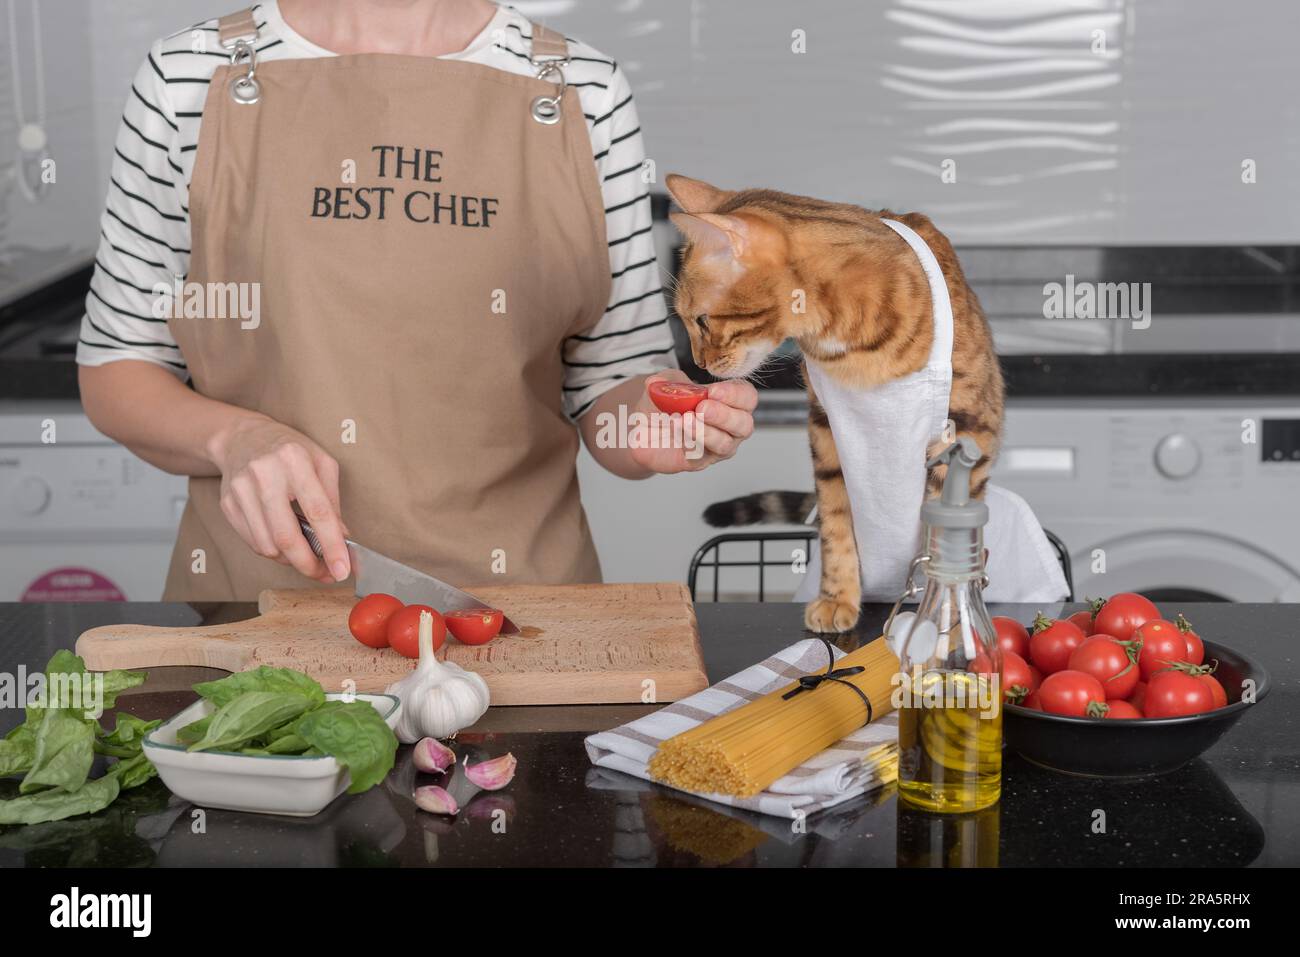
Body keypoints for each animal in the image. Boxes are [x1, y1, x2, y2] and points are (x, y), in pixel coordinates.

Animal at [665, 172, 998, 634]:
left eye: (701, 320)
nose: (696, 365)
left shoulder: (968, 424)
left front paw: (942, 614)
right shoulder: (825, 427)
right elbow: (836, 520)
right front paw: (837, 597)